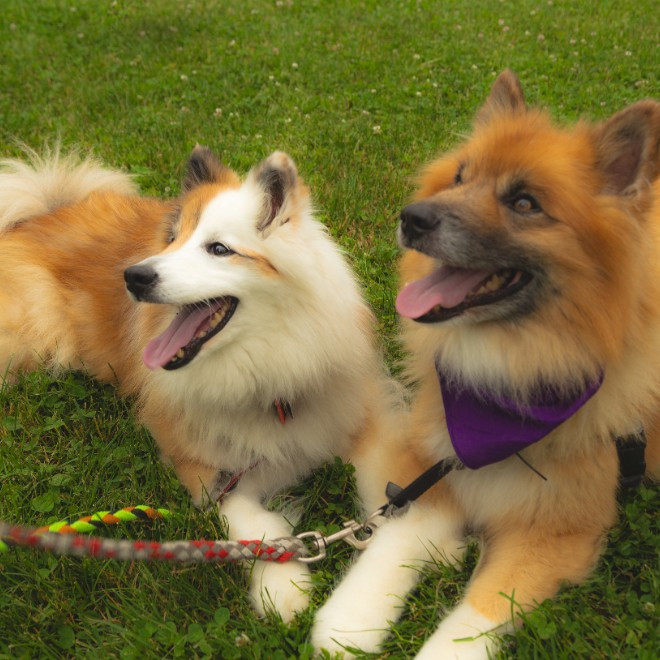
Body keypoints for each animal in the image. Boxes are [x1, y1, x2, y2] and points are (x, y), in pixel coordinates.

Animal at [0, 145, 395, 622]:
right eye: (171, 239)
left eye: (219, 249)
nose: (133, 277)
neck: (266, 359)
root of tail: (39, 215)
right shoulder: (202, 464)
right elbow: (248, 522)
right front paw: (282, 587)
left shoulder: (362, 410)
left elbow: (389, 488)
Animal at [312, 70, 660, 657]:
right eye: (459, 176)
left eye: (524, 202)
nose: (412, 218)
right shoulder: (432, 469)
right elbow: (391, 542)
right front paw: (349, 621)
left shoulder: (558, 531)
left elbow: (477, 614)